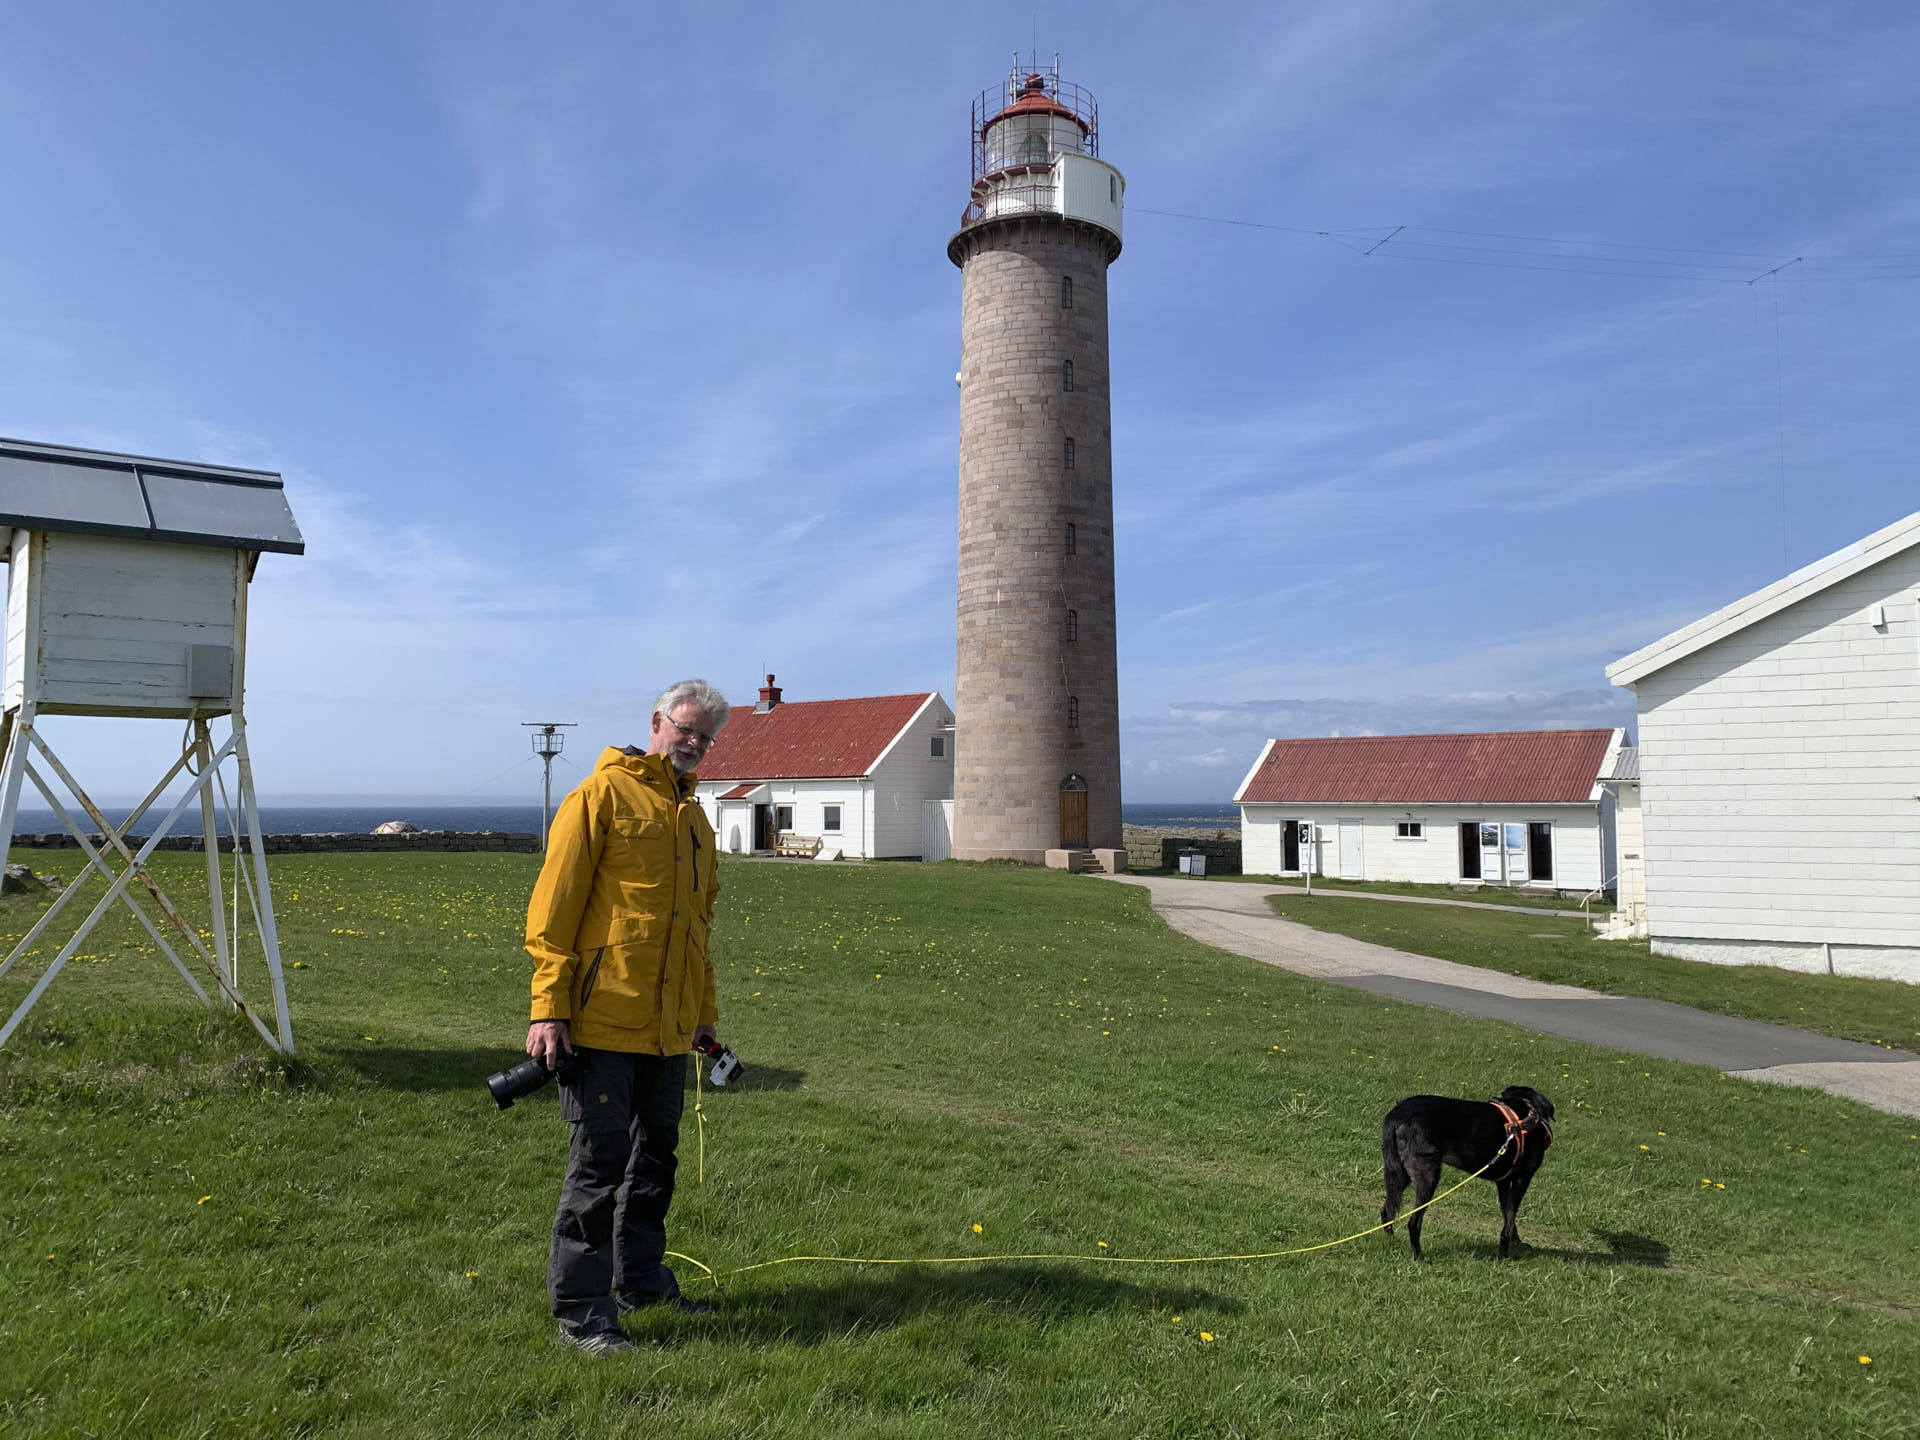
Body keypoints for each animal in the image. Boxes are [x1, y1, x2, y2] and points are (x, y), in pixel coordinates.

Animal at [1374, 1090, 1551, 1259]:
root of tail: (1395, 1117)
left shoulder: (1503, 1183)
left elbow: (1508, 1215)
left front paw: (1516, 1243)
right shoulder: (1522, 1180)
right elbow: (1510, 1218)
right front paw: (1503, 1256)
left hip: (1399, 1173)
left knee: (1387, 1210)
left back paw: (1391, 1242)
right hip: (1427, 1175)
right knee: (1413, 1223)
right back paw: (1419, 1258)